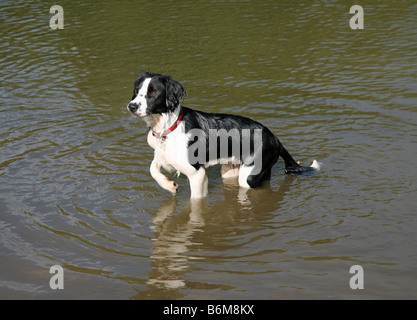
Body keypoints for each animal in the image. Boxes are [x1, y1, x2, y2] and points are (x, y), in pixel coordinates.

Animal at [127, 71, 318, 199]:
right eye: (136, 90)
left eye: (153, 93)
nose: (132, 106)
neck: (168, 127)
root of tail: (275, 138)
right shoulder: (163, 156)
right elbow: (153, 168)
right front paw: (169, 185)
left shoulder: (197, 174)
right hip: (231, 170)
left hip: (249, 175)